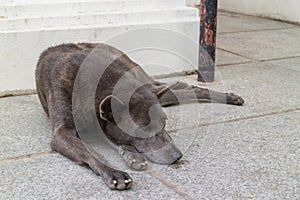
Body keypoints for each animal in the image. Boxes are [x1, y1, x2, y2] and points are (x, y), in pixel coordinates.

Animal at [35, 42, 244, 191]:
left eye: (165, 122)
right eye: (143, 128)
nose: (177, 156)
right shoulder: (62, 133)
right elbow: (92, 152)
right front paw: (116, 171)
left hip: (142, 79)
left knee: (181, 87)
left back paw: (229, 97)